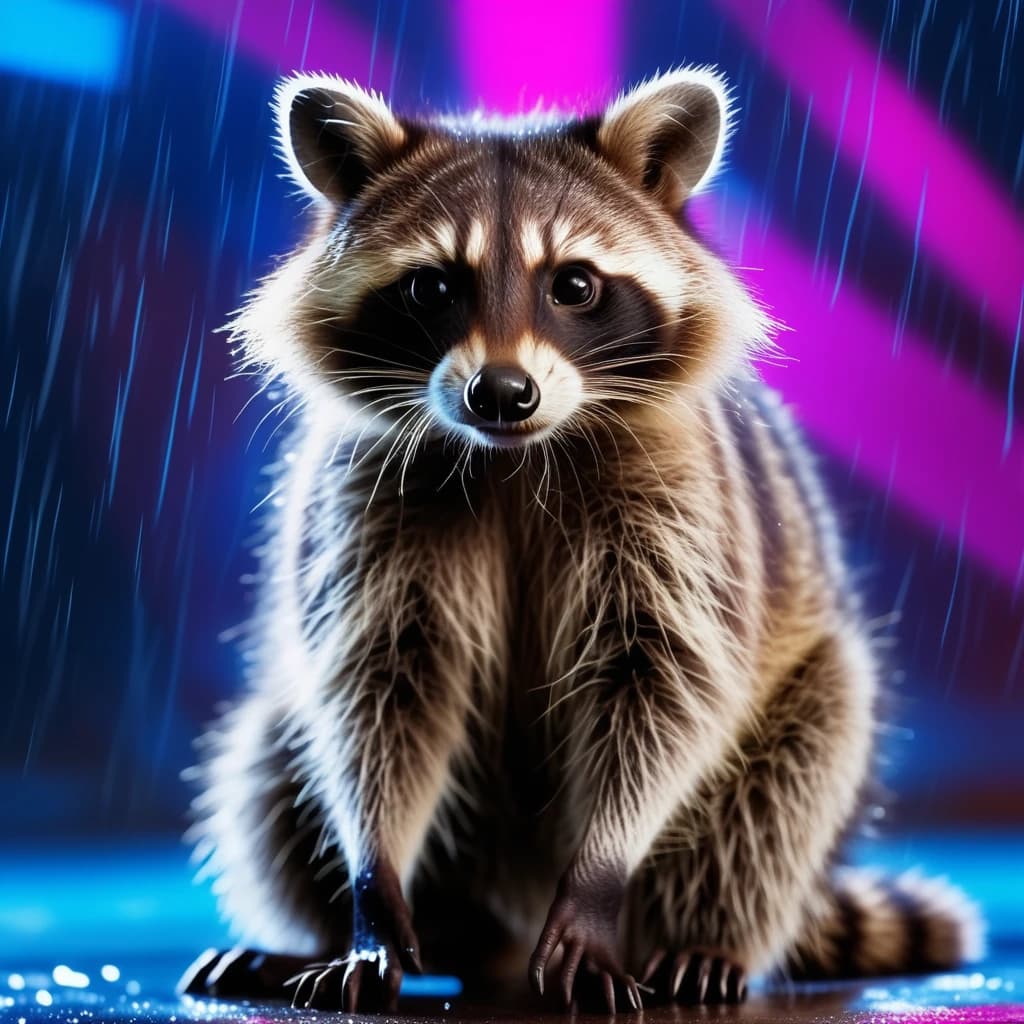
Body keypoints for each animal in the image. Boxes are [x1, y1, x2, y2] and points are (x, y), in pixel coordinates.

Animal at [180, 68, 983, 1013]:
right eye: (432, 288)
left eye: (573, 285)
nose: (502, 392)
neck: (512, 456)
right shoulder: (366, 501)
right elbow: (380, 689)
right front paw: (371, 884)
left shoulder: (684, 508)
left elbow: (669, 684)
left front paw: (601, 870)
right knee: (272, 761)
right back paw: (319, 936)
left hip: (803, 698)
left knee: (790, 776)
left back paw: (704, 939)